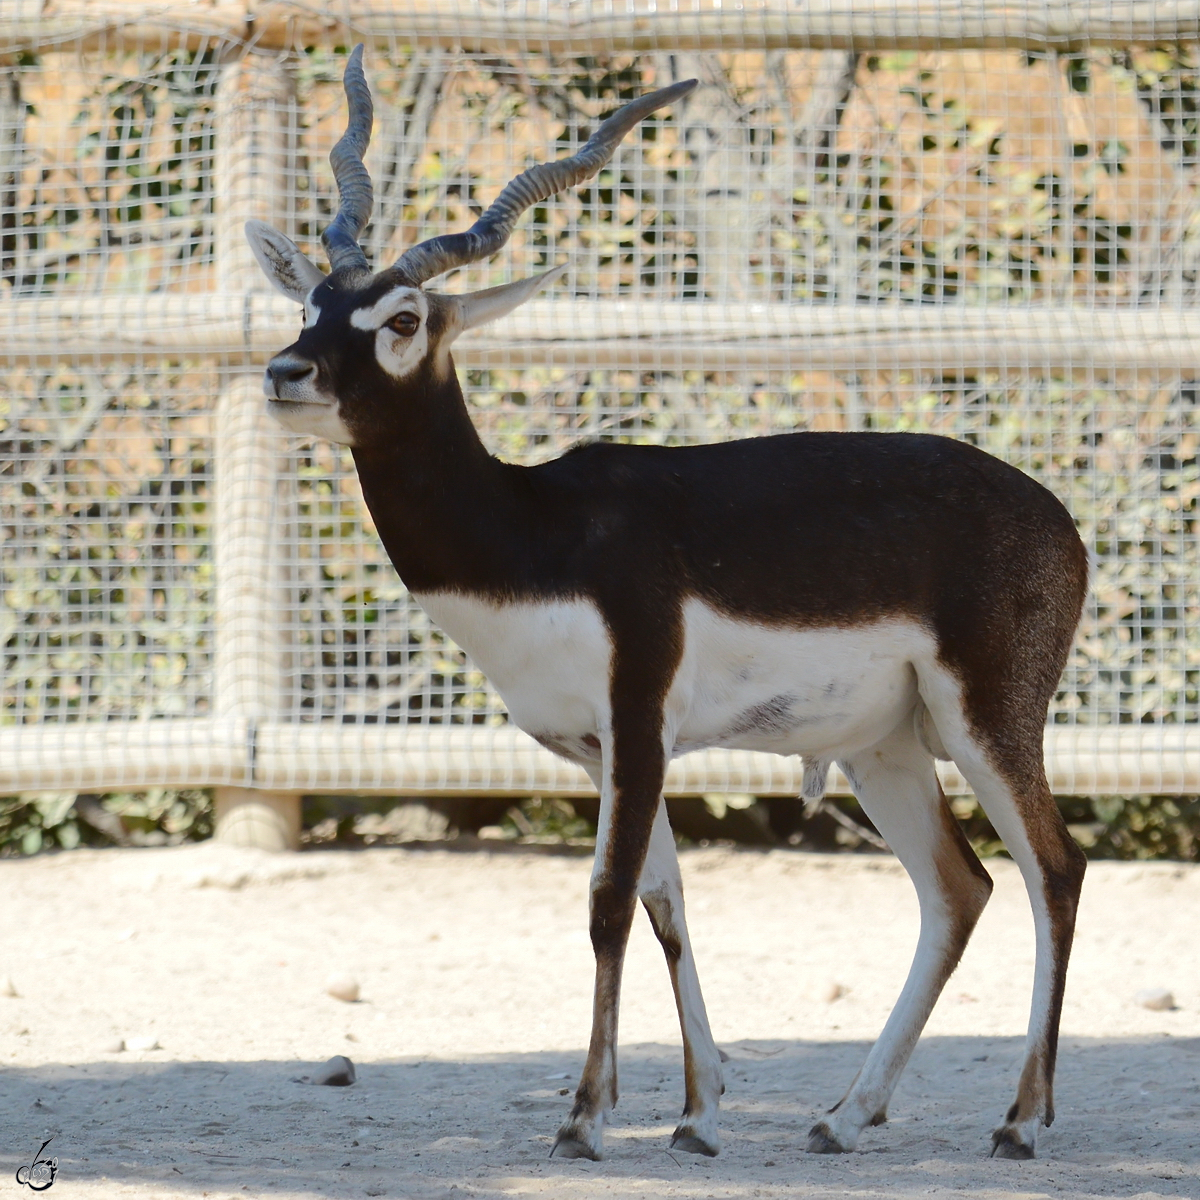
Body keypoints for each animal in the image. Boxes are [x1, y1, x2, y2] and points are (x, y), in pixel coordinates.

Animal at [248, 49, 1094, 1161]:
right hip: (884, 747)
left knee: (1054, 870)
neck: (537, 533)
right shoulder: (596, 749)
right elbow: (665, 900)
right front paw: (693, 1112)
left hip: (987, 721)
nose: (286, 371)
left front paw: (581, 1120)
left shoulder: (640, 719)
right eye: (311, 302)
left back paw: (1023, 1123)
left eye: (402, 320)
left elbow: (608, 902)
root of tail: (1059, 521)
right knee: (961, 889)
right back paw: (844, 1116)